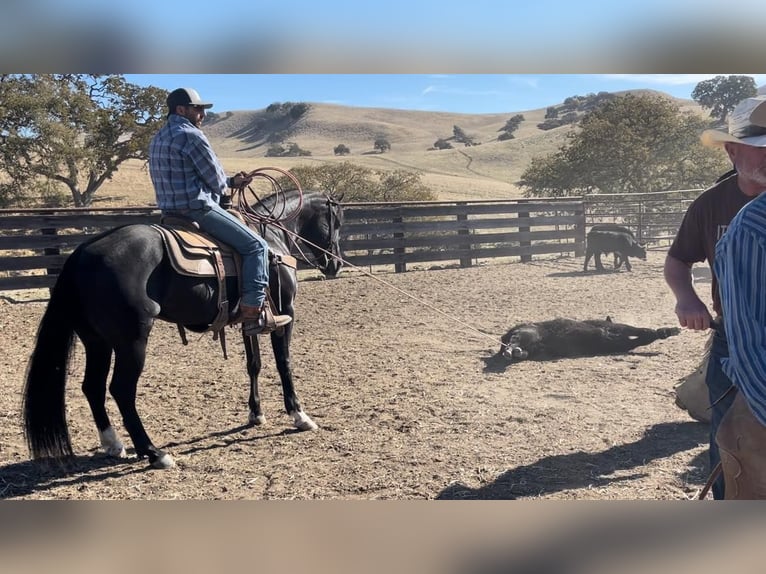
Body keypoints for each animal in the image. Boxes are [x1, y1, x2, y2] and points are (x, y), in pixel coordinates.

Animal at [22, 191, 344, 470]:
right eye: (337, 222)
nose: (335, 265)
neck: (272, 237)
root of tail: (81, 253)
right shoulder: (285, 312)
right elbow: (283, 364)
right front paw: (299, 416)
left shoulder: (250, 320)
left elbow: (254, 364)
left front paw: (256, 413)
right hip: (132, 341)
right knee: (121, 390)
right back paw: (154, 453)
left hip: (96, 341)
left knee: (93, 387)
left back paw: (114, 444)